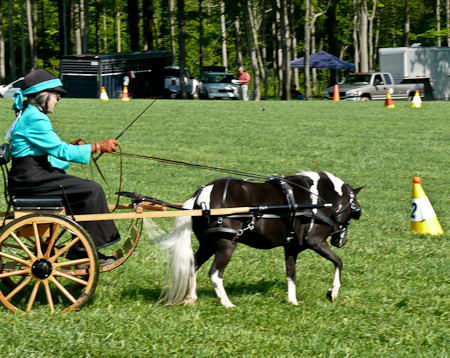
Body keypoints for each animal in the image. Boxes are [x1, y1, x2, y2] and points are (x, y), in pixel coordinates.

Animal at [158, 171, 362, 308]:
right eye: (355, 210)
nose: (341, 241)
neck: (317, 199)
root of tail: (201, 197)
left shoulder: (291, 248)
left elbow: (291, 275)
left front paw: (292, 301)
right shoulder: (316, 242)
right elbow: (338, 262)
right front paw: (333, 292)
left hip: (207, 245)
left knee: (193, 265)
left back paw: (191, 297)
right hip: (226, 245)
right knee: (215, 273)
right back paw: (227, 303)